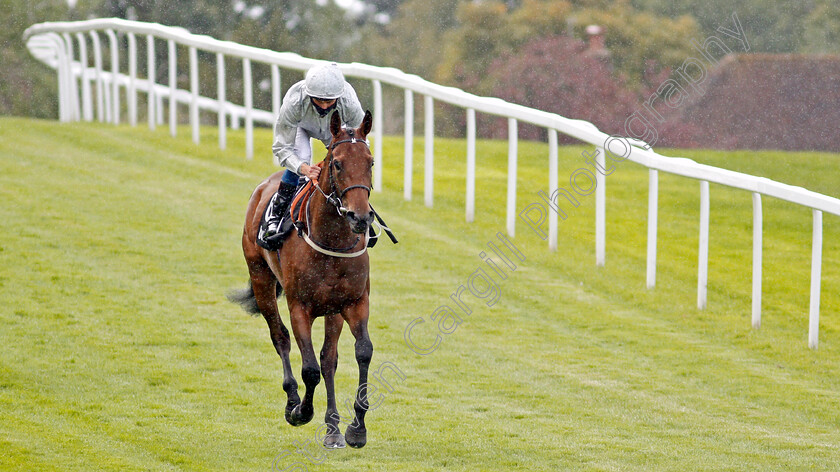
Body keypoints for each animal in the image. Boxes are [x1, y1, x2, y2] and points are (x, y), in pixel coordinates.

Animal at [230, 109, 374, 448]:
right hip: (261, 278)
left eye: (371, 162)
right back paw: (292, 400)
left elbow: (360, 352)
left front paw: (355, 428)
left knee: (329, 359)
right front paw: (301, 412)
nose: (360, 217)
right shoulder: (300, 307)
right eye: (337, 163)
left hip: (332, 309)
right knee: (279, 337)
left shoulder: (354, 302)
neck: (331, 239)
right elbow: (309, 368)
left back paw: (332, 426)